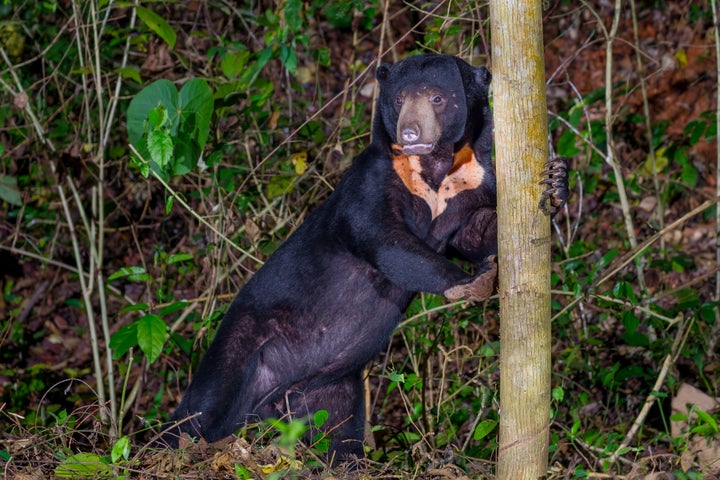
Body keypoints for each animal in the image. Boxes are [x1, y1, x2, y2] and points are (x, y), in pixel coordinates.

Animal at [158, 54, 568, 464]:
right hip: (243, 340)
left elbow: (478, 229)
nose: (410, 133)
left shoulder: (471, 183)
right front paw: (473, 282)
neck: (434, 168)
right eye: (400, 98)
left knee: (338, 435)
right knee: (202, 407)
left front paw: (555, 183)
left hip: (329, 391)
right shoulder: (372, 181)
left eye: (437, 98)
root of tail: (269, 399)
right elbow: (381, 236)